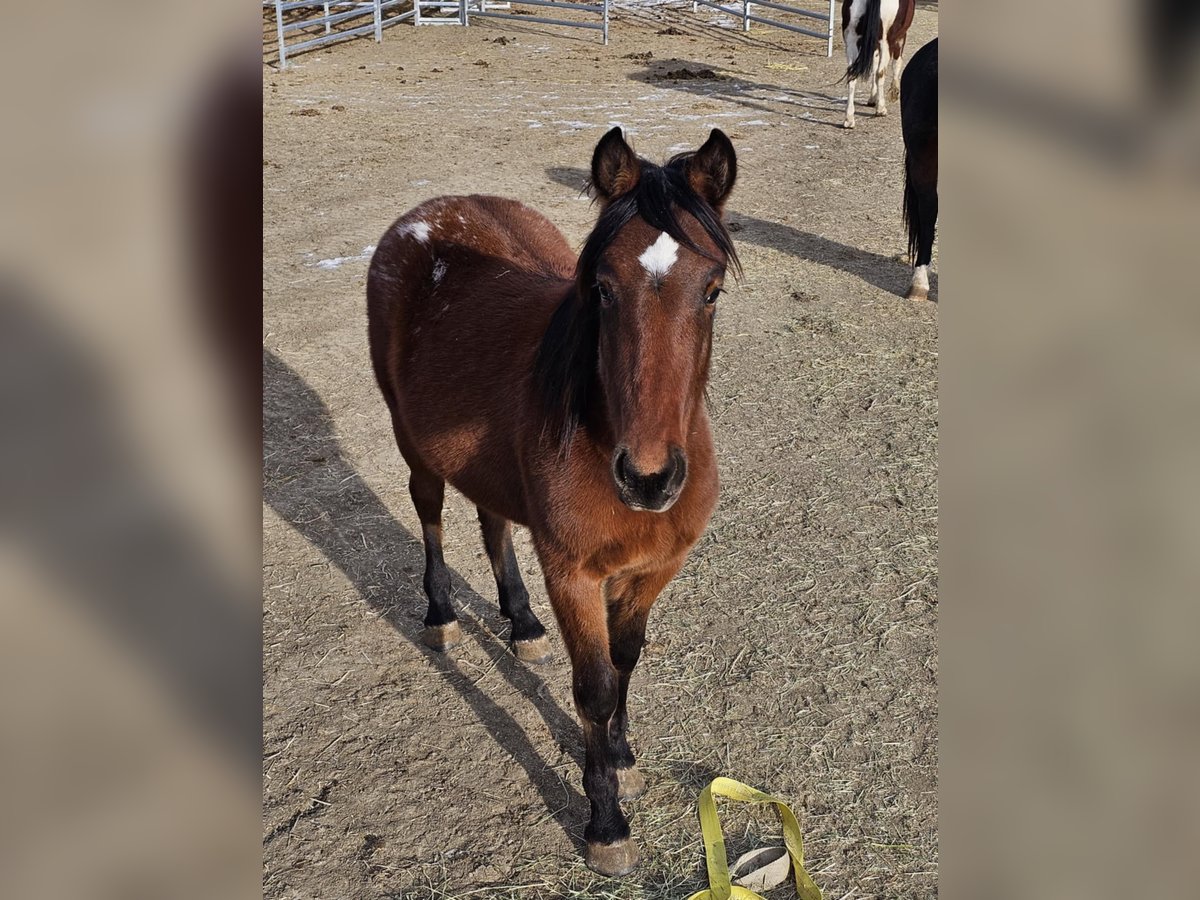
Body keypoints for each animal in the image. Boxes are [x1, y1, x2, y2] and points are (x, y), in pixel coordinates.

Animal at [364, 130, 739, 878]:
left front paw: (622, 757)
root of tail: (428, 213)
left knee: (492, 522)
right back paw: (442, 614)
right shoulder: (573, 573)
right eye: (602, 288)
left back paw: (522, 623)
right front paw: (606, 822)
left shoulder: (651, 570)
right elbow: (593, 686)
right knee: (431, 515)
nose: (648, 480)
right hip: (414, 447)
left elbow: (625, 661)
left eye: (710, 290)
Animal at [844, 0, 916, 128]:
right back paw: (881, 109)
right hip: (886, 42)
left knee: (852, 76)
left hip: (851, 39)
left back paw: (849, 119)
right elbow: (897, 62)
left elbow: (874, 65)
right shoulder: (900, 37)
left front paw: (873, 98)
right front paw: (894, 92)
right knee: (880, 73)